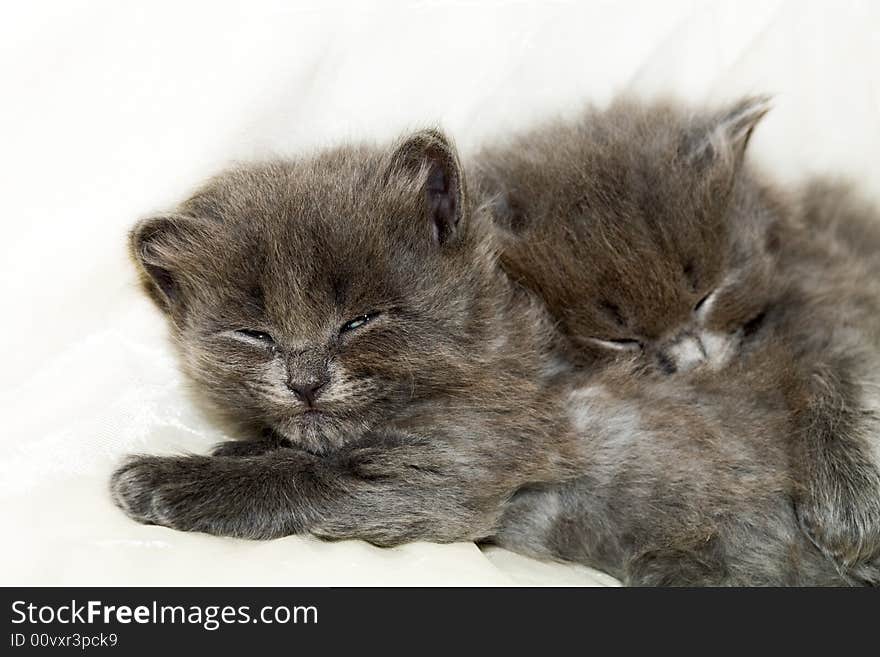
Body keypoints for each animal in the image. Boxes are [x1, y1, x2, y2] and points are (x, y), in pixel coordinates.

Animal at [111, 128, 860, 584]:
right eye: (254, 333)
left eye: (361, 320)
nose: (305, 381)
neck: (494, 340)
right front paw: (237, 448)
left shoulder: (453, 466)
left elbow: (307, 478)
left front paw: (164, 480)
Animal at [474, 96, 880, 576]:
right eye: (619, 339)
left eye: (706, 296)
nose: (693, 359)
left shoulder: (834, 288)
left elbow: (843, 367)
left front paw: (850, 505)